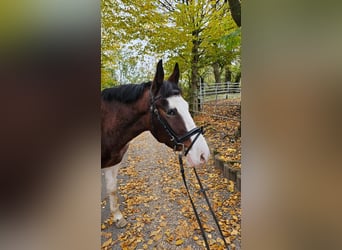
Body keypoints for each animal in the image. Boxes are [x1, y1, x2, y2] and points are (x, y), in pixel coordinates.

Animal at [100, 59, 210, 228]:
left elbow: (112, 188)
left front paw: (118, 217)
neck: (106, 126)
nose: (203, 154)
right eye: (171, 111)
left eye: (186, 106)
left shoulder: (113, 163)